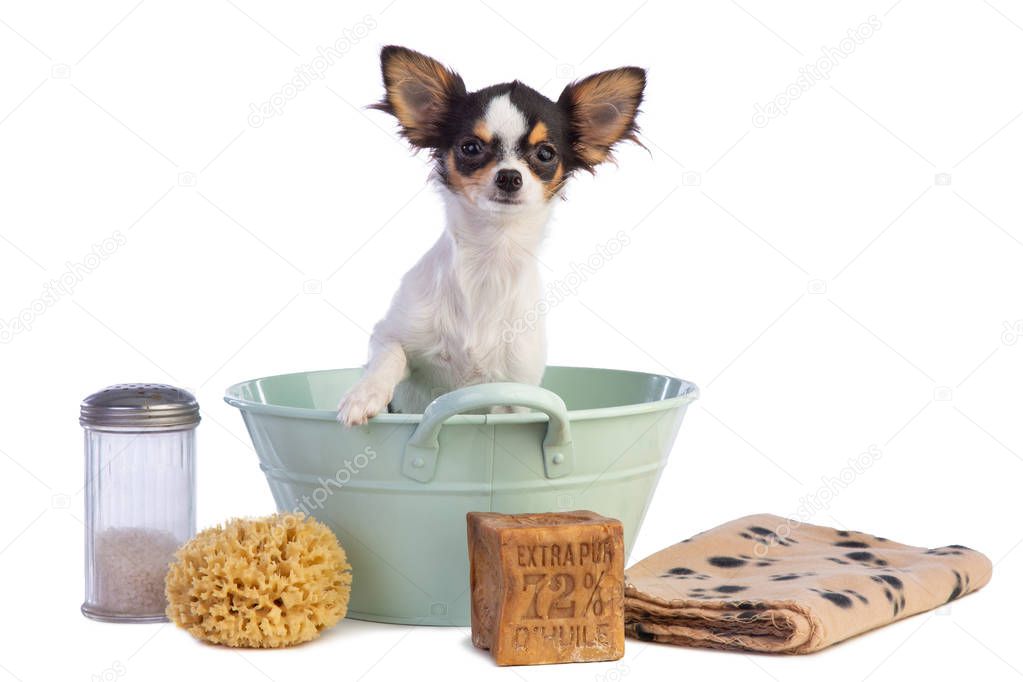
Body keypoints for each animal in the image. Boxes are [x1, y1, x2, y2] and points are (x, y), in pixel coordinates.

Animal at [339, 45, 642, 423]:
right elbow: (388, 357)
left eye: (545, 154)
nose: (509, 176)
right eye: (470, 148)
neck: (490, 254)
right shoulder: (390, 333)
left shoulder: (516, 390)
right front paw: (364, 395)